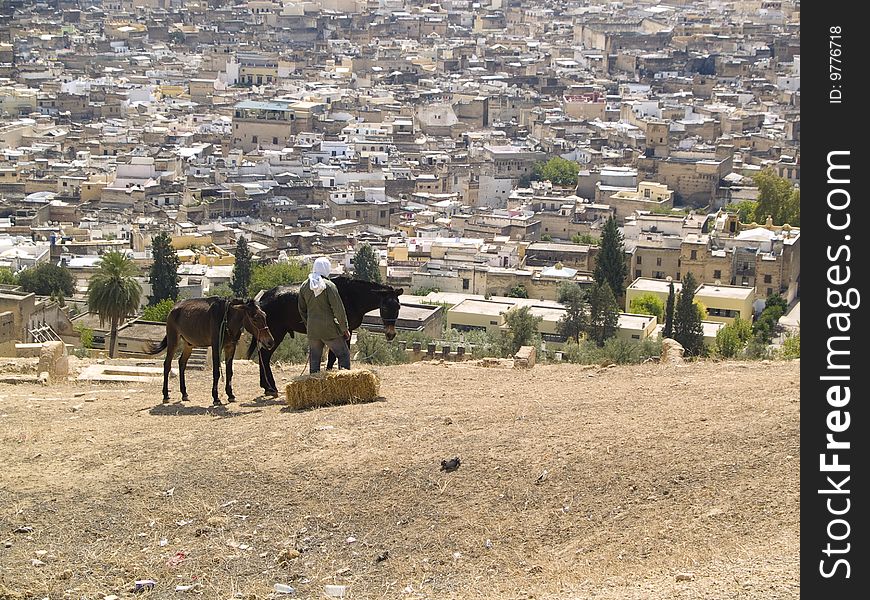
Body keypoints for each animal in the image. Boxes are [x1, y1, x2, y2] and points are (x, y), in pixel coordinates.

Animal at [146, 298, 274, 406]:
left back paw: (184, 393)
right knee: (167, 365)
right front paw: (216, 398)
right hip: (173, 341)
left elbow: (229, 372)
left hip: (188, 344)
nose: (270, 341)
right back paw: (166, 395)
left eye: (265, 315)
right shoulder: (216, 346)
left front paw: (230, 395)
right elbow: (216, 372)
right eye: (255, 318)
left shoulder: (230, 347)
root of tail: (173, 309)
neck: (226, 318)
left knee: (182, 363)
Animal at [249, 278, 406, 398]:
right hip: (275, 334)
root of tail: (262, 299)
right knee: (264, 356)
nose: (391, 334)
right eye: (384, 307)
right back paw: (270, 387)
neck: (352, 296)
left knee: (263, 356)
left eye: (398, 307)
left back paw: (267, 387)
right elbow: (334, 356)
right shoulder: (343, 331)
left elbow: (333, 356)